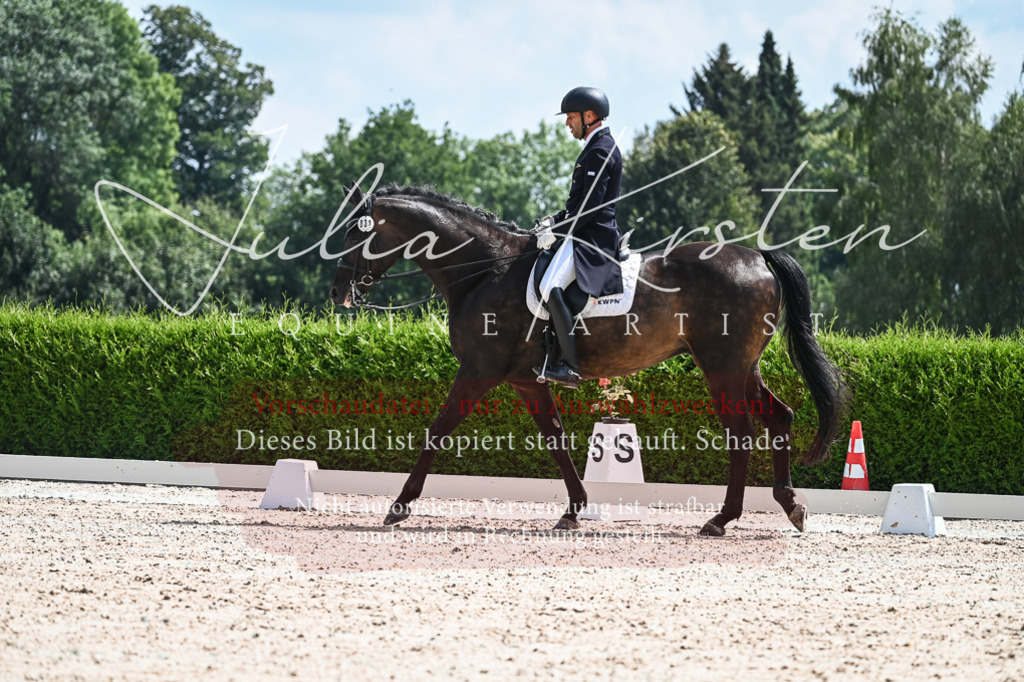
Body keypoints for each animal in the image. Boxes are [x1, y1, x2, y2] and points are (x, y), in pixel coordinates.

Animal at [330, 183, 849, 536]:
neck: (485, 269)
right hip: (743, 367)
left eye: (356, 233)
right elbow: (557, 439)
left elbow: (437, 429)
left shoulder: (478, 371)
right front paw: (574, 509)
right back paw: (791, 506)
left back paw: (722, 519)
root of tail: (758, 258)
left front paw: (399, 506)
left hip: (722, 366)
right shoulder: (527, 380)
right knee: (779, 417)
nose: (338, 293)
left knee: (741, 433)